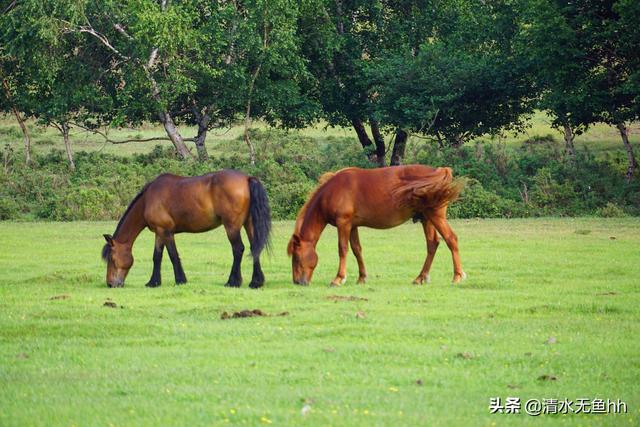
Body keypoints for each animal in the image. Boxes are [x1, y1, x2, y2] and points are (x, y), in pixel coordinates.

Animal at [102, 172, 270, 290]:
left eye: (111, 258)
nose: (110, 284)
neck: (148, 199)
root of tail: (247, 178)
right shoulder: (159, 232)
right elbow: (157, 256)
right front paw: (153, 282)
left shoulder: (166, 231)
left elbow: (172, 255)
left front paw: (180, 280)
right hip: (249, 224)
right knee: (255, 248)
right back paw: (255, 282)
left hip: (232, 226)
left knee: (238, 249)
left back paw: (232, 281)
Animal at [288, 166, 464, 286]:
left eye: (296, 257)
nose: (297, 282)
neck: (332, 191)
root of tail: (440, 171)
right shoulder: (352, 226)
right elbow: (356, 249)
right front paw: (361, 277)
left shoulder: (343, 223)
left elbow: (342, 249)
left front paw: (339, 278)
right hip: (426, 218)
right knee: (432, 244)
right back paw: (420, 277)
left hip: (435, 216)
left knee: (451, 239)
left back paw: (457, 276)